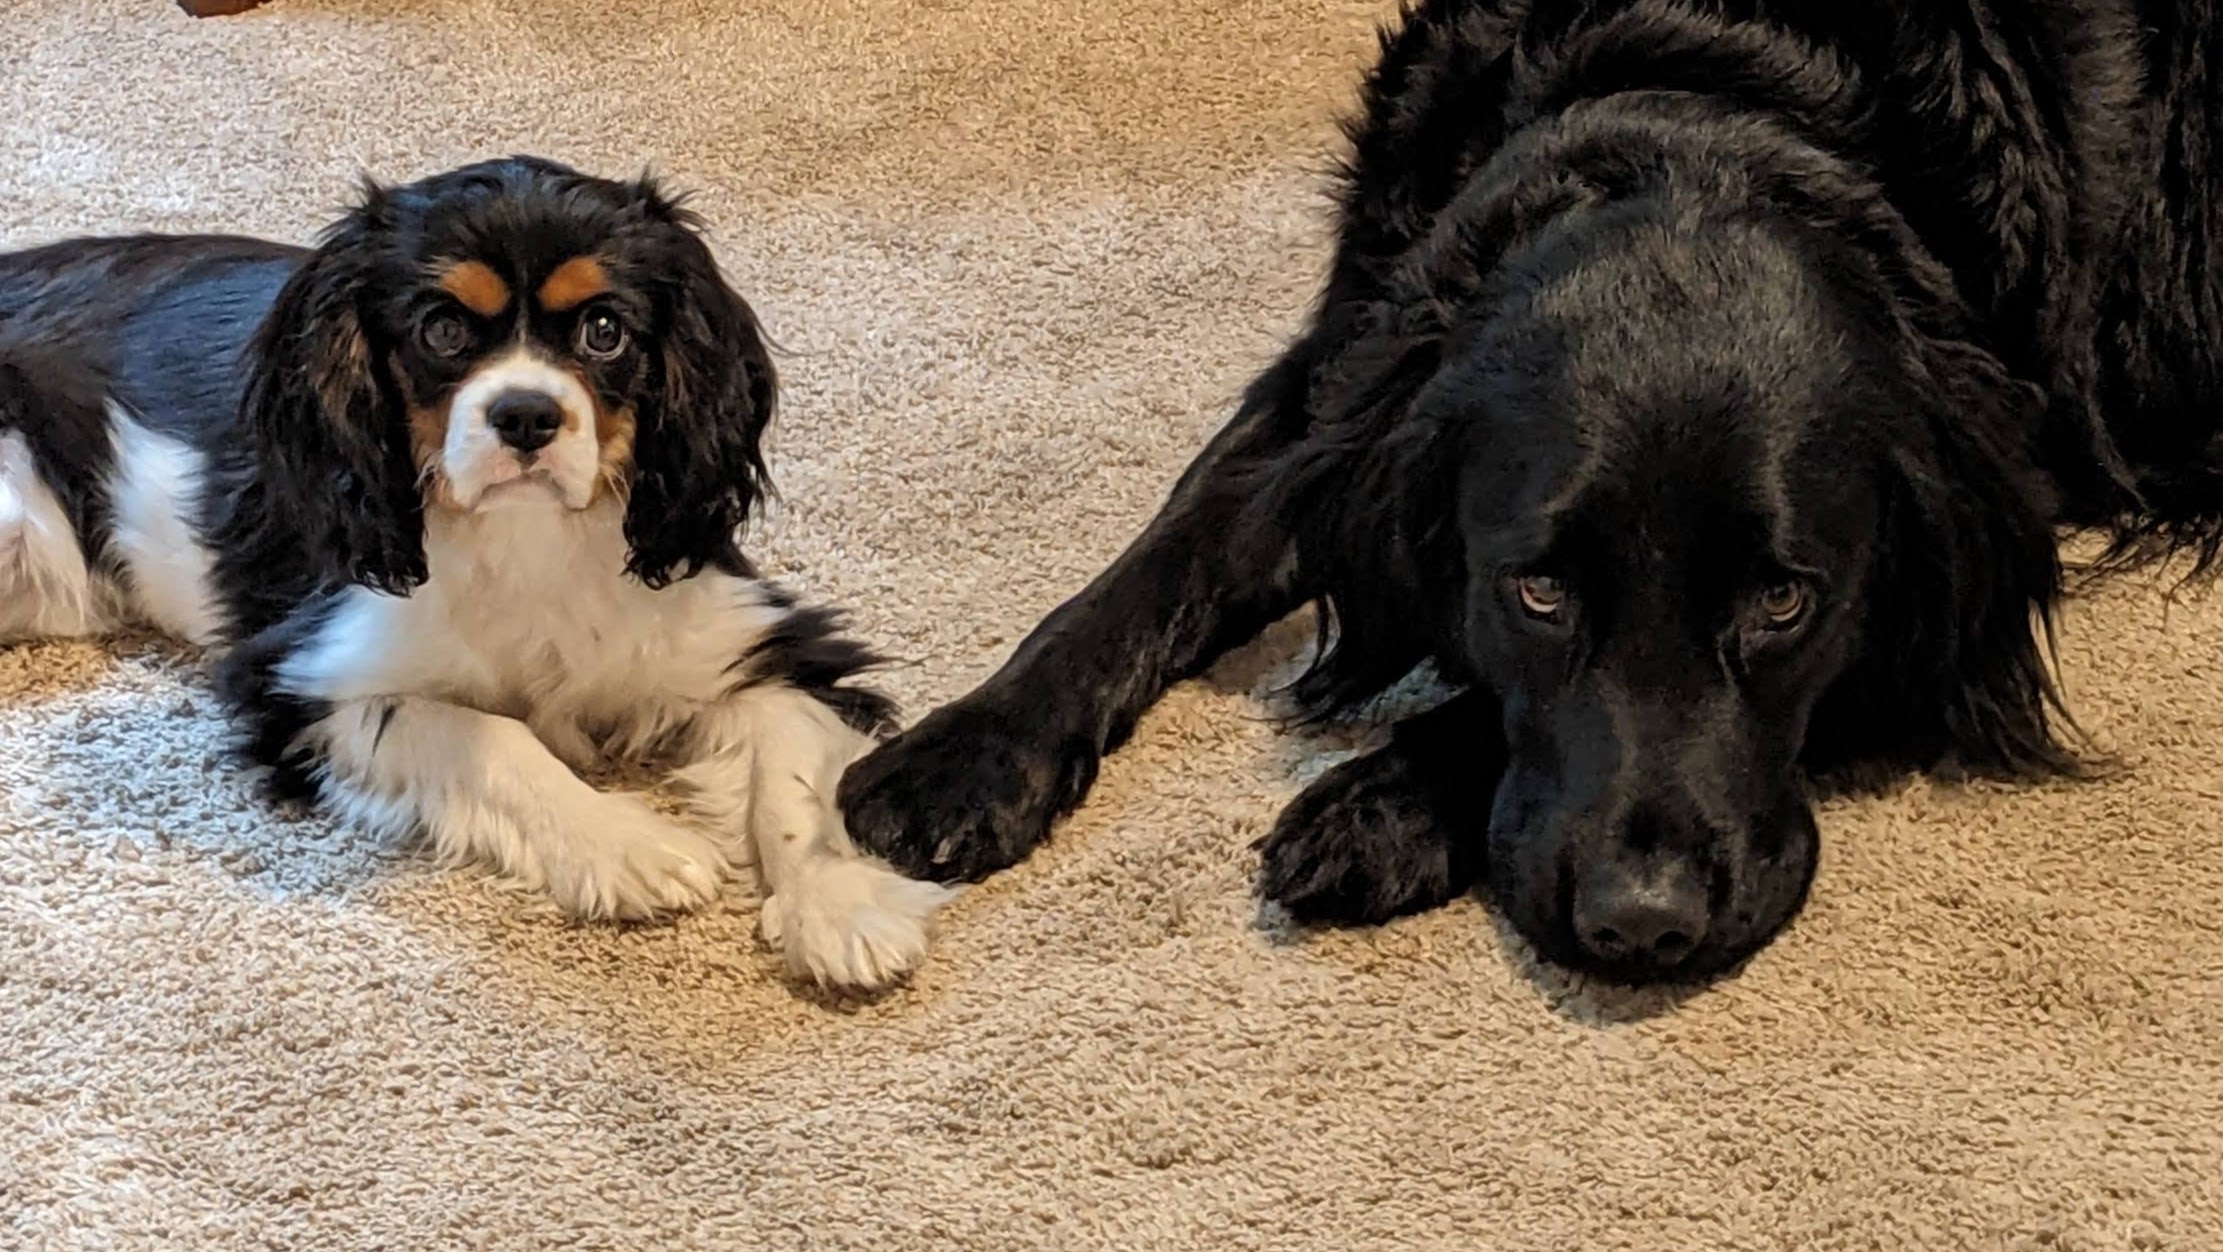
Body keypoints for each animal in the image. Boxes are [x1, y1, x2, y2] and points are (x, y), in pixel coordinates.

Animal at [835, 0, 2223, 982]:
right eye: (1539, 591)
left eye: (1784, 602)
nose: (1644, 927)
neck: (1713, 92)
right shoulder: (1349, 359)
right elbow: (1166, 554)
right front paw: (967, 750)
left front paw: (1383, 801)